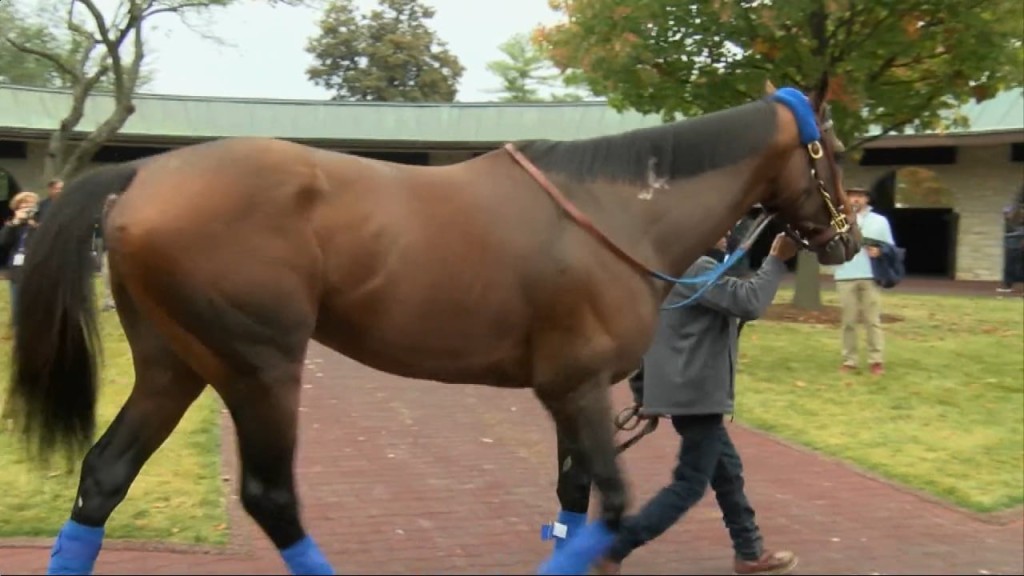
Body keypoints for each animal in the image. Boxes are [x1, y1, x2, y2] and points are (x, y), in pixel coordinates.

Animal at [5, 74, 857, 576]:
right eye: (838, 150)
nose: (847, 240)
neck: (616, 213)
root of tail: (143, 171)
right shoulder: (581, 386)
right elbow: (610, 506)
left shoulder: (566, 390)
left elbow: (574, 496)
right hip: (260, 365)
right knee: (270, 497)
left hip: (175, 363)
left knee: (104, 476)